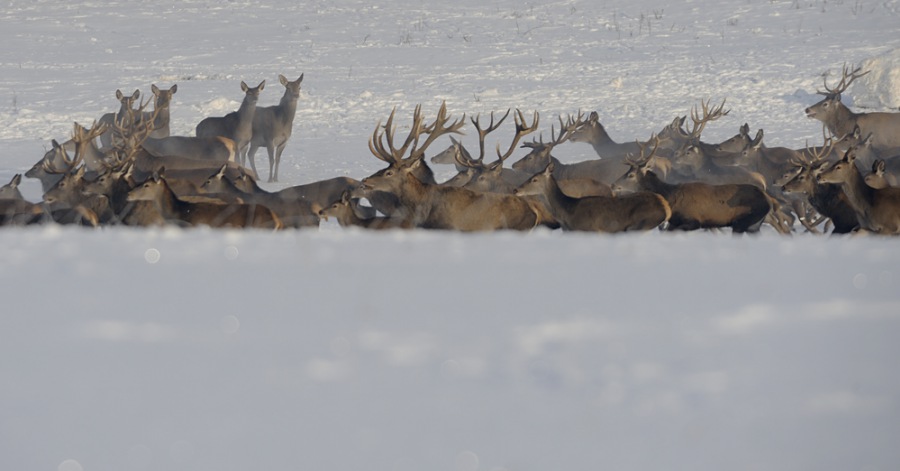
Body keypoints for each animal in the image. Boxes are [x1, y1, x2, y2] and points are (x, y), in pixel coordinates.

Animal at [612, 136, 772, 234]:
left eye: (631, 175)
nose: (613, 185)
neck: (671, 198)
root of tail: (768, 200)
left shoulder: (694, 221)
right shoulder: (673, 223)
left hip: (743, 222)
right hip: (753, 226)